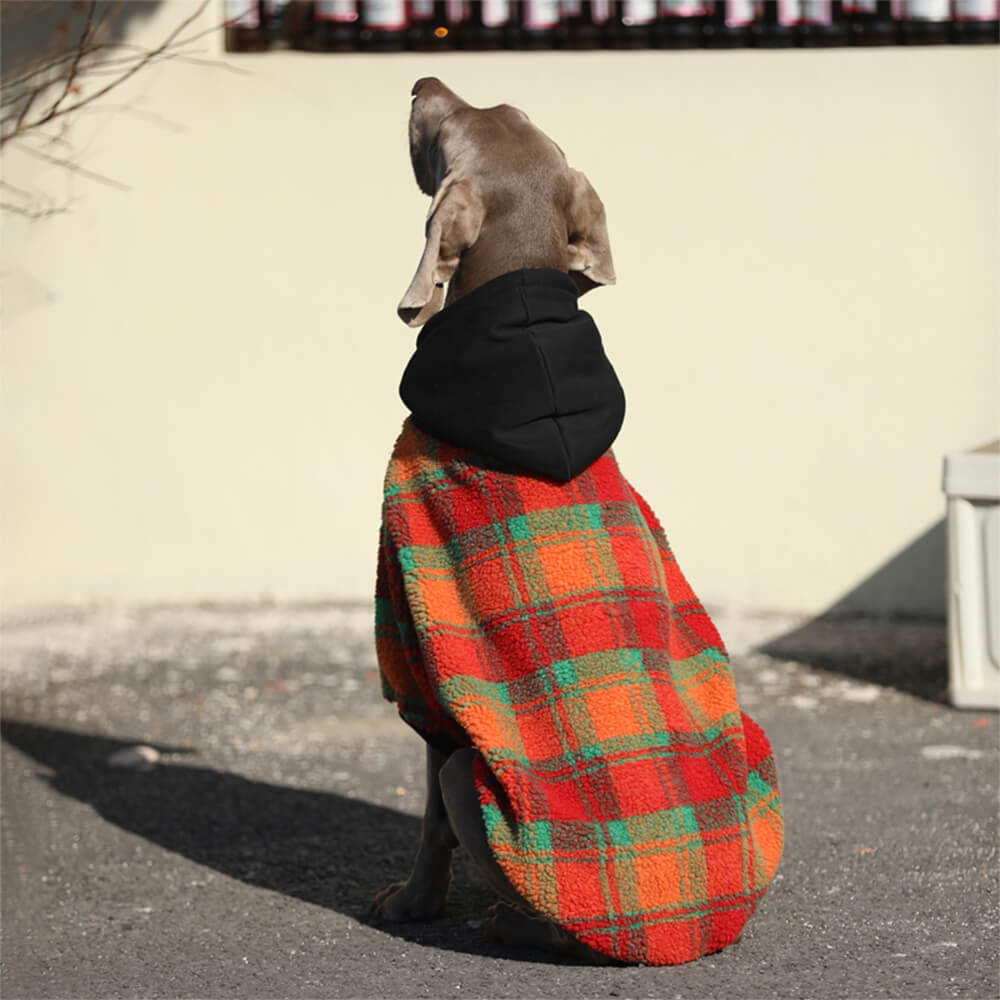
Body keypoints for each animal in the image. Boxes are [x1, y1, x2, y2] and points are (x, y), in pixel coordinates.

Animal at [372, 78, 784, 960]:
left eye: (448, 131)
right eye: (505, 112)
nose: (422, 82)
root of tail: (682, 936)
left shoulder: (418, 664)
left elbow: (427, 815)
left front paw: (412, 903)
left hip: (471, 776)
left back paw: (506, 920)